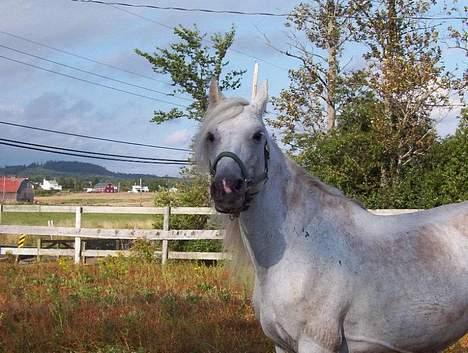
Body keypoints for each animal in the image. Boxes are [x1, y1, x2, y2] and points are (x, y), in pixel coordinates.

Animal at [194, 80, 468, 352]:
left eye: (257, 135)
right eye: (211, 136)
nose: (227, 190)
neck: (299, 249)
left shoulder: (316, 343)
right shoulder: (281, 344)